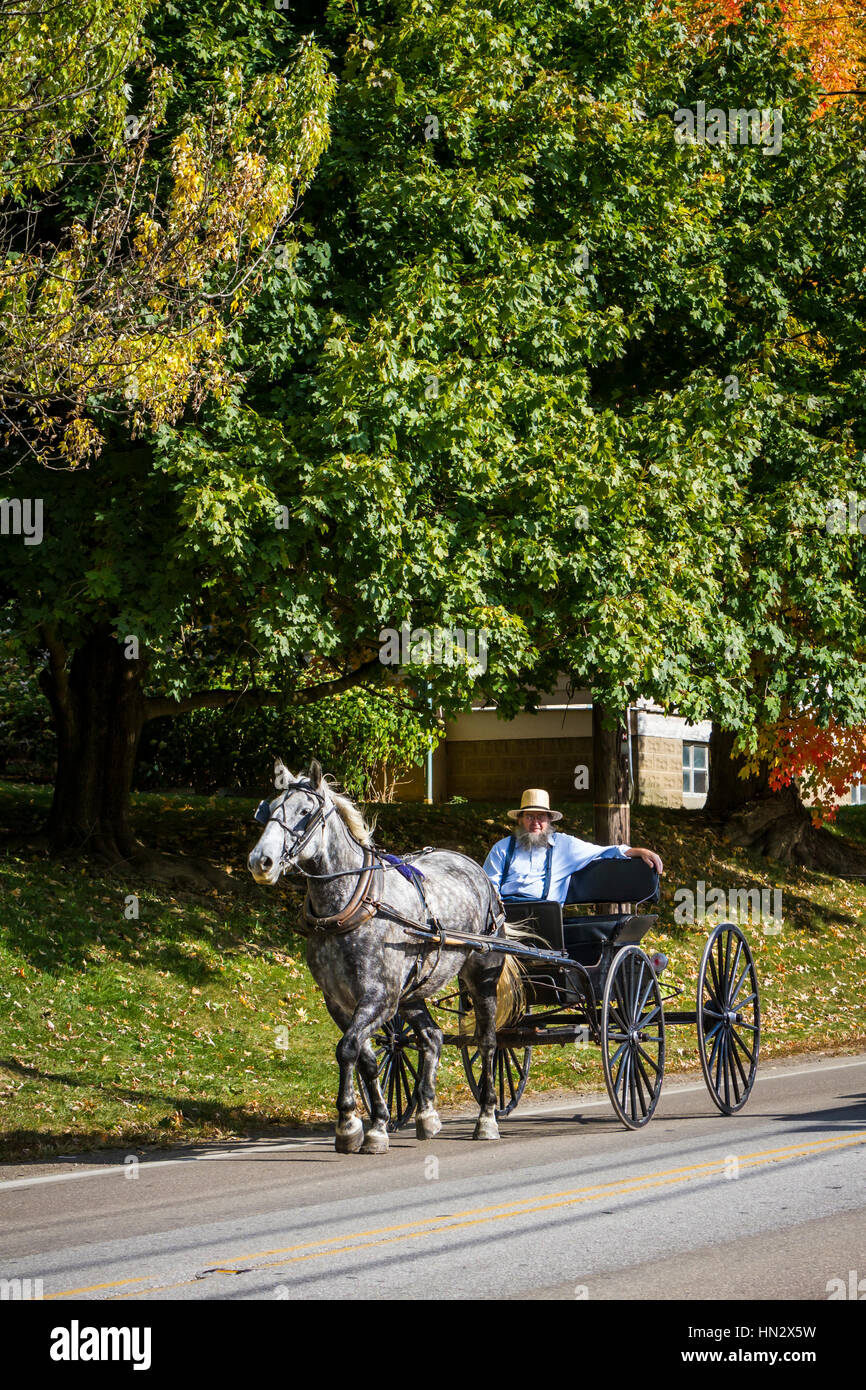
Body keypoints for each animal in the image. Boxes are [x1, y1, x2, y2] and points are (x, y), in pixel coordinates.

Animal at [247, 758, 524, 1154]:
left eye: (304, 812)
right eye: (269, 809)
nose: (262, 861)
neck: (352, 903)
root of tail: (477, 869)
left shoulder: (379, 996)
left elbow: (347, 1049)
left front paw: (349, 1123)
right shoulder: (341, 1002)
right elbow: (365, 1056)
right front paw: (374, 1122)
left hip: (481, 974)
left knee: (487, 1042)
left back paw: (486, 1118)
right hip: (411, 992)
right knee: (432, 1037)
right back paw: (426, 1113)